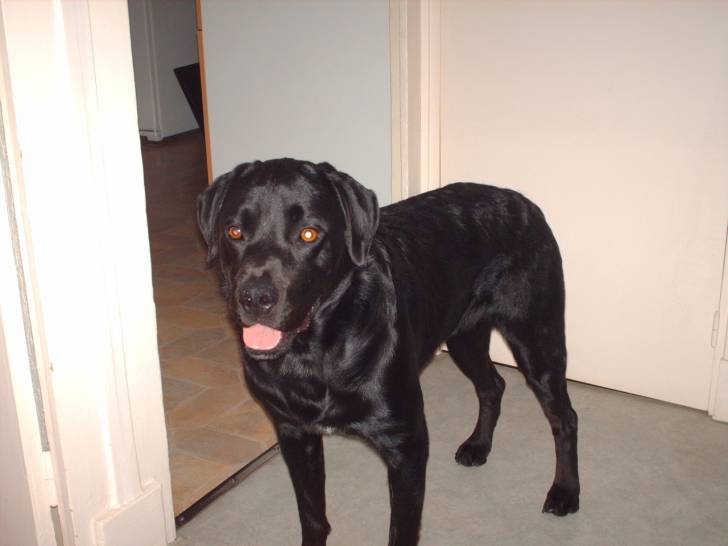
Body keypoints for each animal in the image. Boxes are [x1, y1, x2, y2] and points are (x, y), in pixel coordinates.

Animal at [197, 159, 580, 546]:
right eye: (234, 232)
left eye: (308, 234)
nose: (255, 297)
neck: (317, 352)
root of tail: (523, 201)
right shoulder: (294, 433)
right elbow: (313, 516)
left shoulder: (406, 445)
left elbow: (401, 530)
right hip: (464, 337)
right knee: (492, 386)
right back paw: (478, 445)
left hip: (537, 340)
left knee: (564, 417)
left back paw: (565, 491)